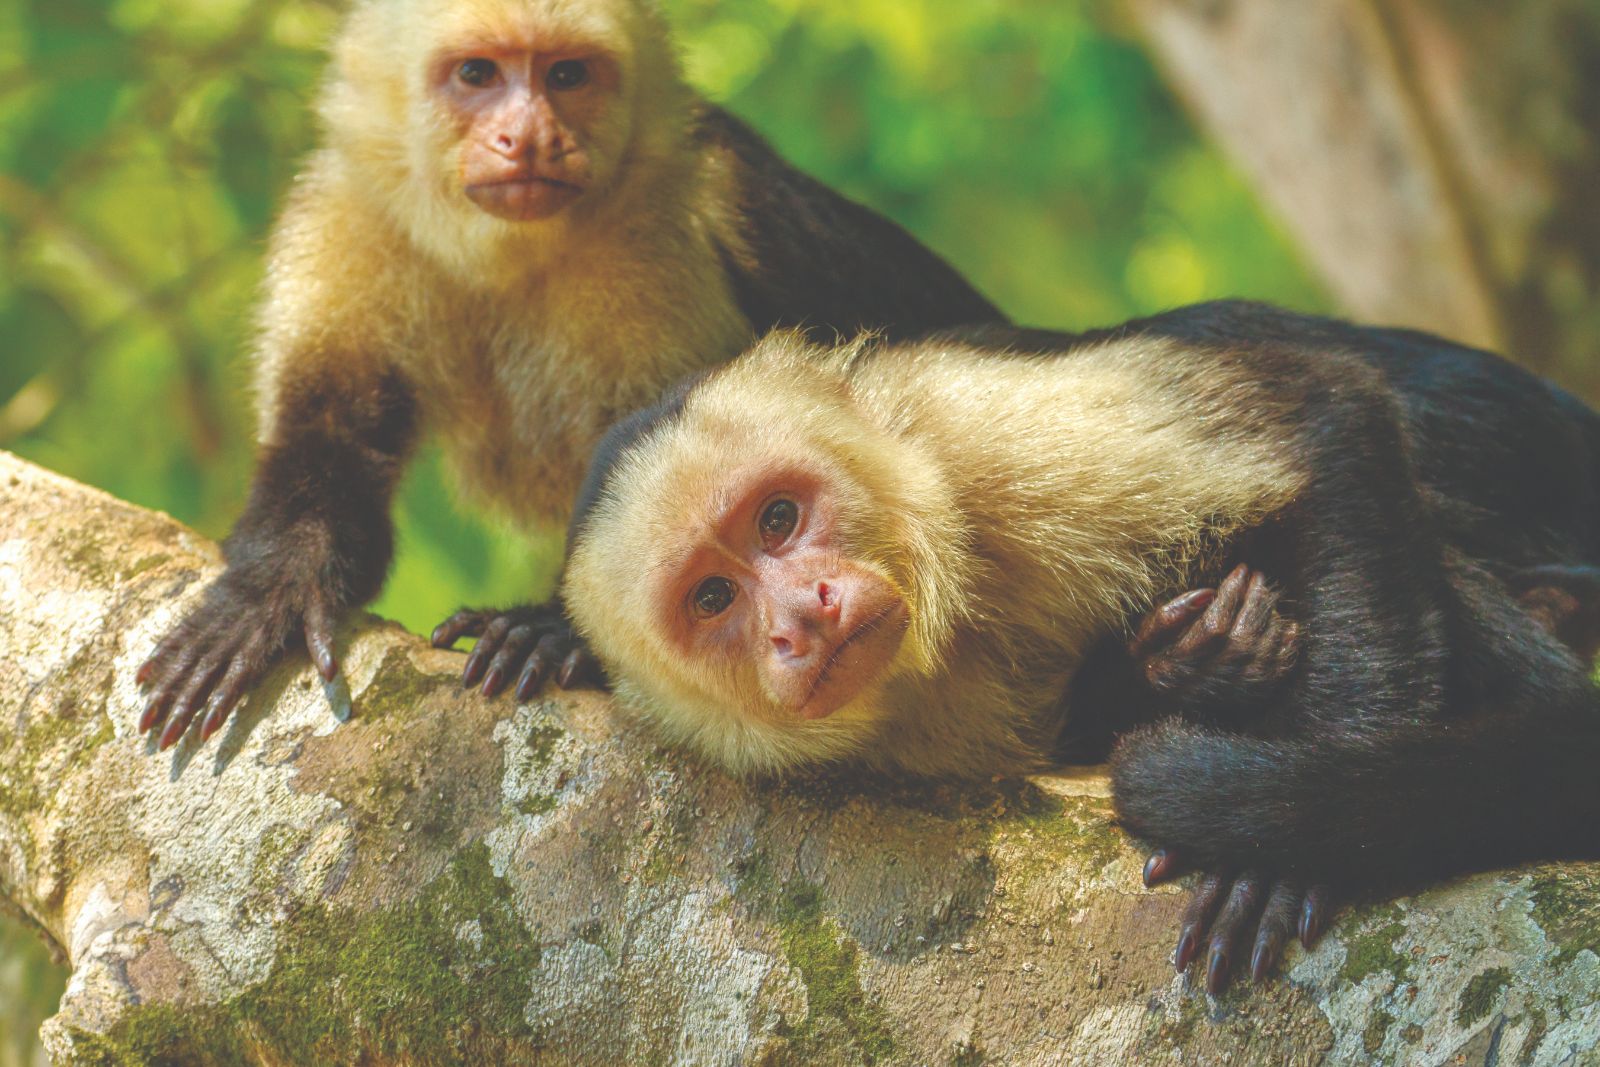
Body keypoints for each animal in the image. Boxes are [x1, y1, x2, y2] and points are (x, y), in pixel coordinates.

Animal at [134, 0, 1020, 750]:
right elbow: (328, 435)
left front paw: (551, 631)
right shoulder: (350, 209)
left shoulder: (661, 222)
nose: (527, 137)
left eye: (566, 75)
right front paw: (268, 591)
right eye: (478, 75)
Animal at [558, 300, 1600, 994]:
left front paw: (1295, 839)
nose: (801, 616)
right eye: (713, 597)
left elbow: (1323, 414)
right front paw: (1197, 665)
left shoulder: (974, 434)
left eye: (778, 516)